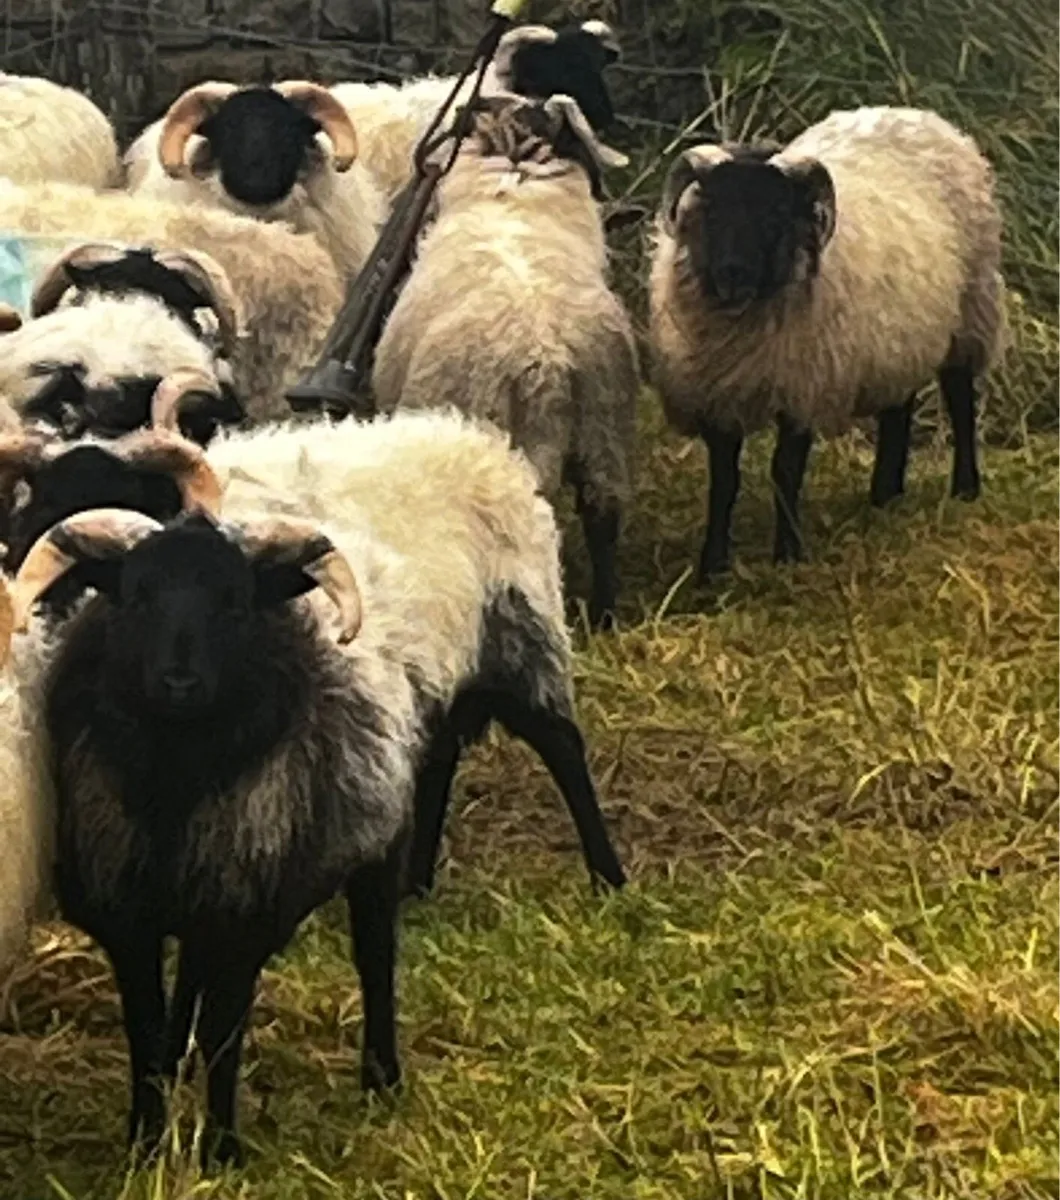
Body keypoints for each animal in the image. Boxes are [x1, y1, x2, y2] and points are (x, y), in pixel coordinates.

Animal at [2, 378, 628, 900]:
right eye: (42, 503)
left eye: (128, 495)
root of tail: (484, 442)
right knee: (439, 758)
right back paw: (416, 886)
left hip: (522, 635)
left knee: (561, 745)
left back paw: (608, 878)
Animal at [2, 500, 417, 1164]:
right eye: (137, 595)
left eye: (235, 604)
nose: (179, 683)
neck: (175, 782)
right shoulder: (133, 921)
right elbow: (145, 1028)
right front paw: (145, 1141)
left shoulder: (242, 922)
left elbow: (225, 1033)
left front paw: (221, 1150)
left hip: (380, 851)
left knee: (376, 961)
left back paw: (383, 1080)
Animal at [649, 106, 1004, 579]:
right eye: (711, 209)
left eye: (777, 213)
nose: (732, 274)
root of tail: (917, 114)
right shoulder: (716, 393)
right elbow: (723, 481)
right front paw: (713, 567)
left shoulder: (803, 388)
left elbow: (785, 472)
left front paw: (788, 555)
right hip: (900, 334)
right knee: (898, 408)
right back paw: (884, 495)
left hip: (970, 312)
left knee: (961, 399)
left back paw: (964, 488)